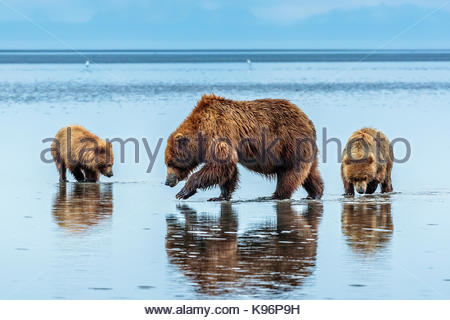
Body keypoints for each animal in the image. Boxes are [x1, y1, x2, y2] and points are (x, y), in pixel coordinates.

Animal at [165, 93, 324, 200]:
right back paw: (315, 193)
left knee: (290, 172)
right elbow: (227, 170)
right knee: (311, 172)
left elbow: (219, 165)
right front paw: (220, 196)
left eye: (170, 162)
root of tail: (308, 121)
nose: (167, 181)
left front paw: (182, 192)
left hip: (291, 143)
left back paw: (276, 195)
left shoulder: (219, 133)